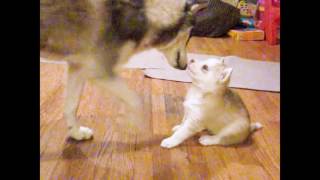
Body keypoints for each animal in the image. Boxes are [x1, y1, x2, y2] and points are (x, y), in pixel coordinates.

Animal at [40, 0, 198, 141]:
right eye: (187, 36)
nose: (184, 67)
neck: (145, 12)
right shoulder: (99, 71)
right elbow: (136, 101)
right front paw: (135, 124)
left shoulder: (78, 66)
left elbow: (71, 106)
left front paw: (76, 133)